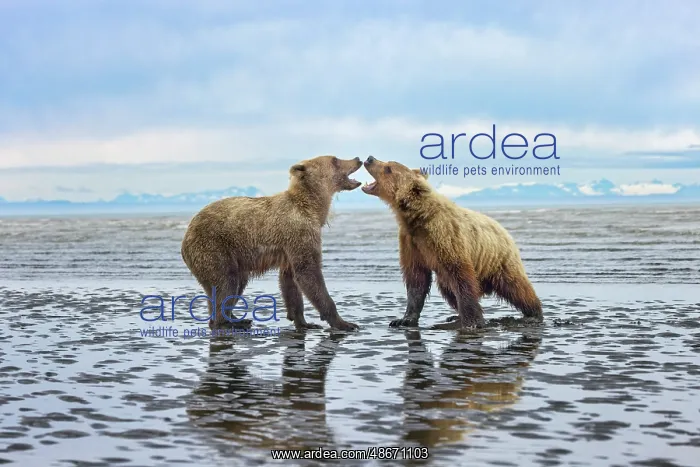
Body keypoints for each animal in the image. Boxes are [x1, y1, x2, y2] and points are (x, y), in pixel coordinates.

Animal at [180, 155, 363, 332]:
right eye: (335, 160)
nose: (358, 159)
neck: (313, 208)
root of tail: (186, 235)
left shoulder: (289, 246)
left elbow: (290, 281)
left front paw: (304, 322)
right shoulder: (299, 232)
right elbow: (308, 271)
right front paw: (345, 323)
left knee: (234, 284)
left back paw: (235, 318)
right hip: (213, 248)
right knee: (227, 282)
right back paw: (229, 322)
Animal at [361, 155, 543, 330]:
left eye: (388, 168)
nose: (370, 158)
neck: (416, 217)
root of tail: (504, 231)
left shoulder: (444, 236)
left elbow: (460, 276)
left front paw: (472, 322)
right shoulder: (411, 242)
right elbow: (416, 279)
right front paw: (403, 320)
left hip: (498, 259)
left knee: (515, 286)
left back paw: (533, 313)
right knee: (447, 288)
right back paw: (455, 316)